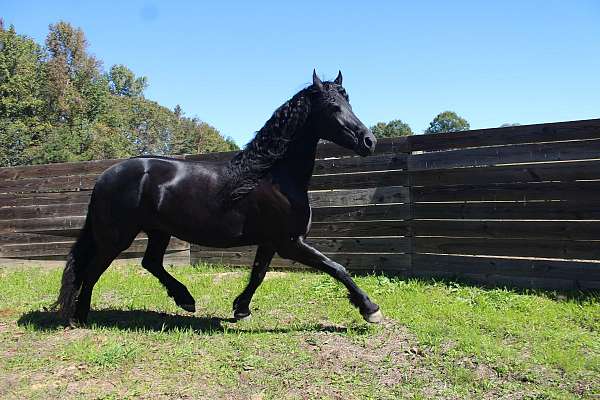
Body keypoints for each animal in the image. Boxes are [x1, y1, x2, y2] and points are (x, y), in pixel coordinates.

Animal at [54, 71, 382, 324]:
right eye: (332, 106)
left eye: (349, 101)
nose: (369, 141)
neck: (272, 176)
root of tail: (105, 177)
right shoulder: (290, 242)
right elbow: (336, 268)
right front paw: (370, 310)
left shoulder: (270, 242)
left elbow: (258, 274)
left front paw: (241, 310)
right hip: (117, 237)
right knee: (92, 270)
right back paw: (80, 317)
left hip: (158, 232)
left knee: (150, 263)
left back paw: (185, 300)